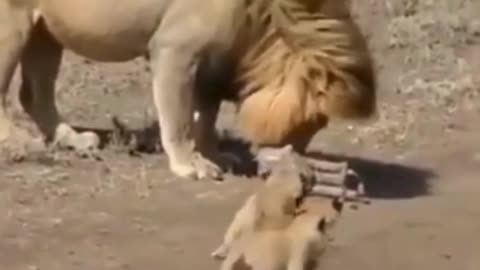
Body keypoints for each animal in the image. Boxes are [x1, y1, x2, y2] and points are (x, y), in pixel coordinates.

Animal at [0, 0, 376, 179]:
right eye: (316, 121)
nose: (296, 157)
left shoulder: (212, 62)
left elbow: (205, 118)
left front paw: (213, 155)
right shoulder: (174, 50)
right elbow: (179, 119)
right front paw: (189, 164)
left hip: (46, 31)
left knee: (34, 94)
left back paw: (74, 140)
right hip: (11, 23)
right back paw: (19, 142)